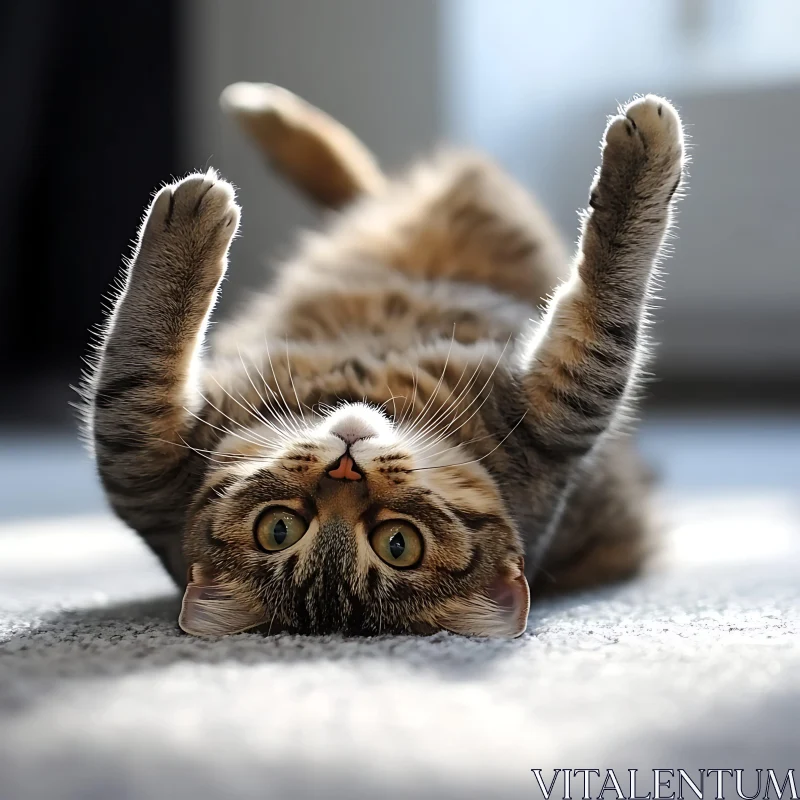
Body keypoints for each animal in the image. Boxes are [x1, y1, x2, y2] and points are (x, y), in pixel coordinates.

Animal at [83, 86, 688, 636]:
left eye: (398, 544)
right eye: (278, 530)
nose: (345, 468)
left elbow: (608, 298)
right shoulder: (140, 468)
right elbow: (144, 343)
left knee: (366, 192)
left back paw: (268, 118)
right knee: (365, 194)